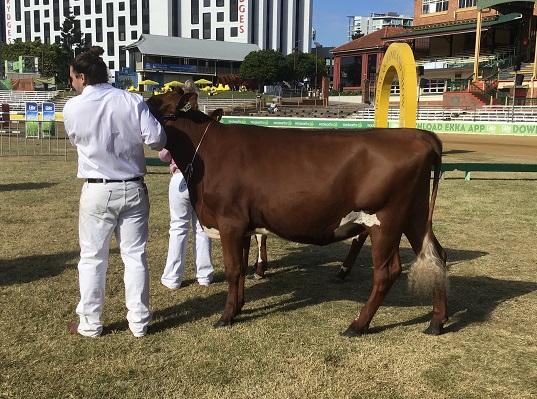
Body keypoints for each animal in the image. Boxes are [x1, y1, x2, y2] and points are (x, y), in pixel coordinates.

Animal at [147, 91, 448, 338]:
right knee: (437, 256)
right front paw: (240, 306)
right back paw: (437, 322)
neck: (205, 151)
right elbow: (242, 267)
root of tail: (420, 135)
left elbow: (233, 270)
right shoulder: (243, 225)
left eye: (151, 103)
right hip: (415, 215)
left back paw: (357, 325)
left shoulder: (229, 221)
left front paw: (226, 316)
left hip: (385, 220)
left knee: (387, 272)